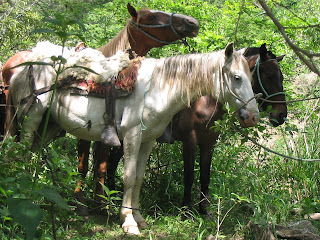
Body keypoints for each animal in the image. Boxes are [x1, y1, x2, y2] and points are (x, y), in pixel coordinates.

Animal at [0, 3, 199, 201]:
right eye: (151, 17)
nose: (192, 22)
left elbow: (101, 167)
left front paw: (100, 200)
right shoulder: (87, 131)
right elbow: (85, 166)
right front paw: (82, 197)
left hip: (48, 124)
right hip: (25, 117)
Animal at [7, 41, 260, 234]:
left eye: (251, 78)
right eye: (236, 77)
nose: (253, 117)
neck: (158, 88)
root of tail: (22, 69)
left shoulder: (148, 140)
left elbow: (138, 178)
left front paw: (138, 218)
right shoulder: (131, 137)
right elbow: (128, 177)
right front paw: (128, 222)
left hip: (49, 127)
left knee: (29, 154)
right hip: (31, 119)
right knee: (21, 153)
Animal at [105, 43, 288, 216]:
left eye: (281, 77)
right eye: (269, 76)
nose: (281, 115)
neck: (205, 101)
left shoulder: (209, 142)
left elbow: (205, 176)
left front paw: (204, 209)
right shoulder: (189, 140)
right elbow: (189, 176)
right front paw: (186, 210)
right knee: (113, 162)